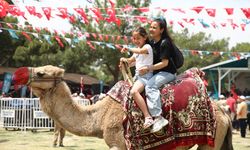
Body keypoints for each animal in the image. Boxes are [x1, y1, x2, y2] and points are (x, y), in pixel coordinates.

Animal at [12, 65, 233, 149]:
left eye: (41, 73)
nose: (17, 75)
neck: (100, 116)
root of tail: (223, 112)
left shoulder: (118, 143)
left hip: (211, 139)